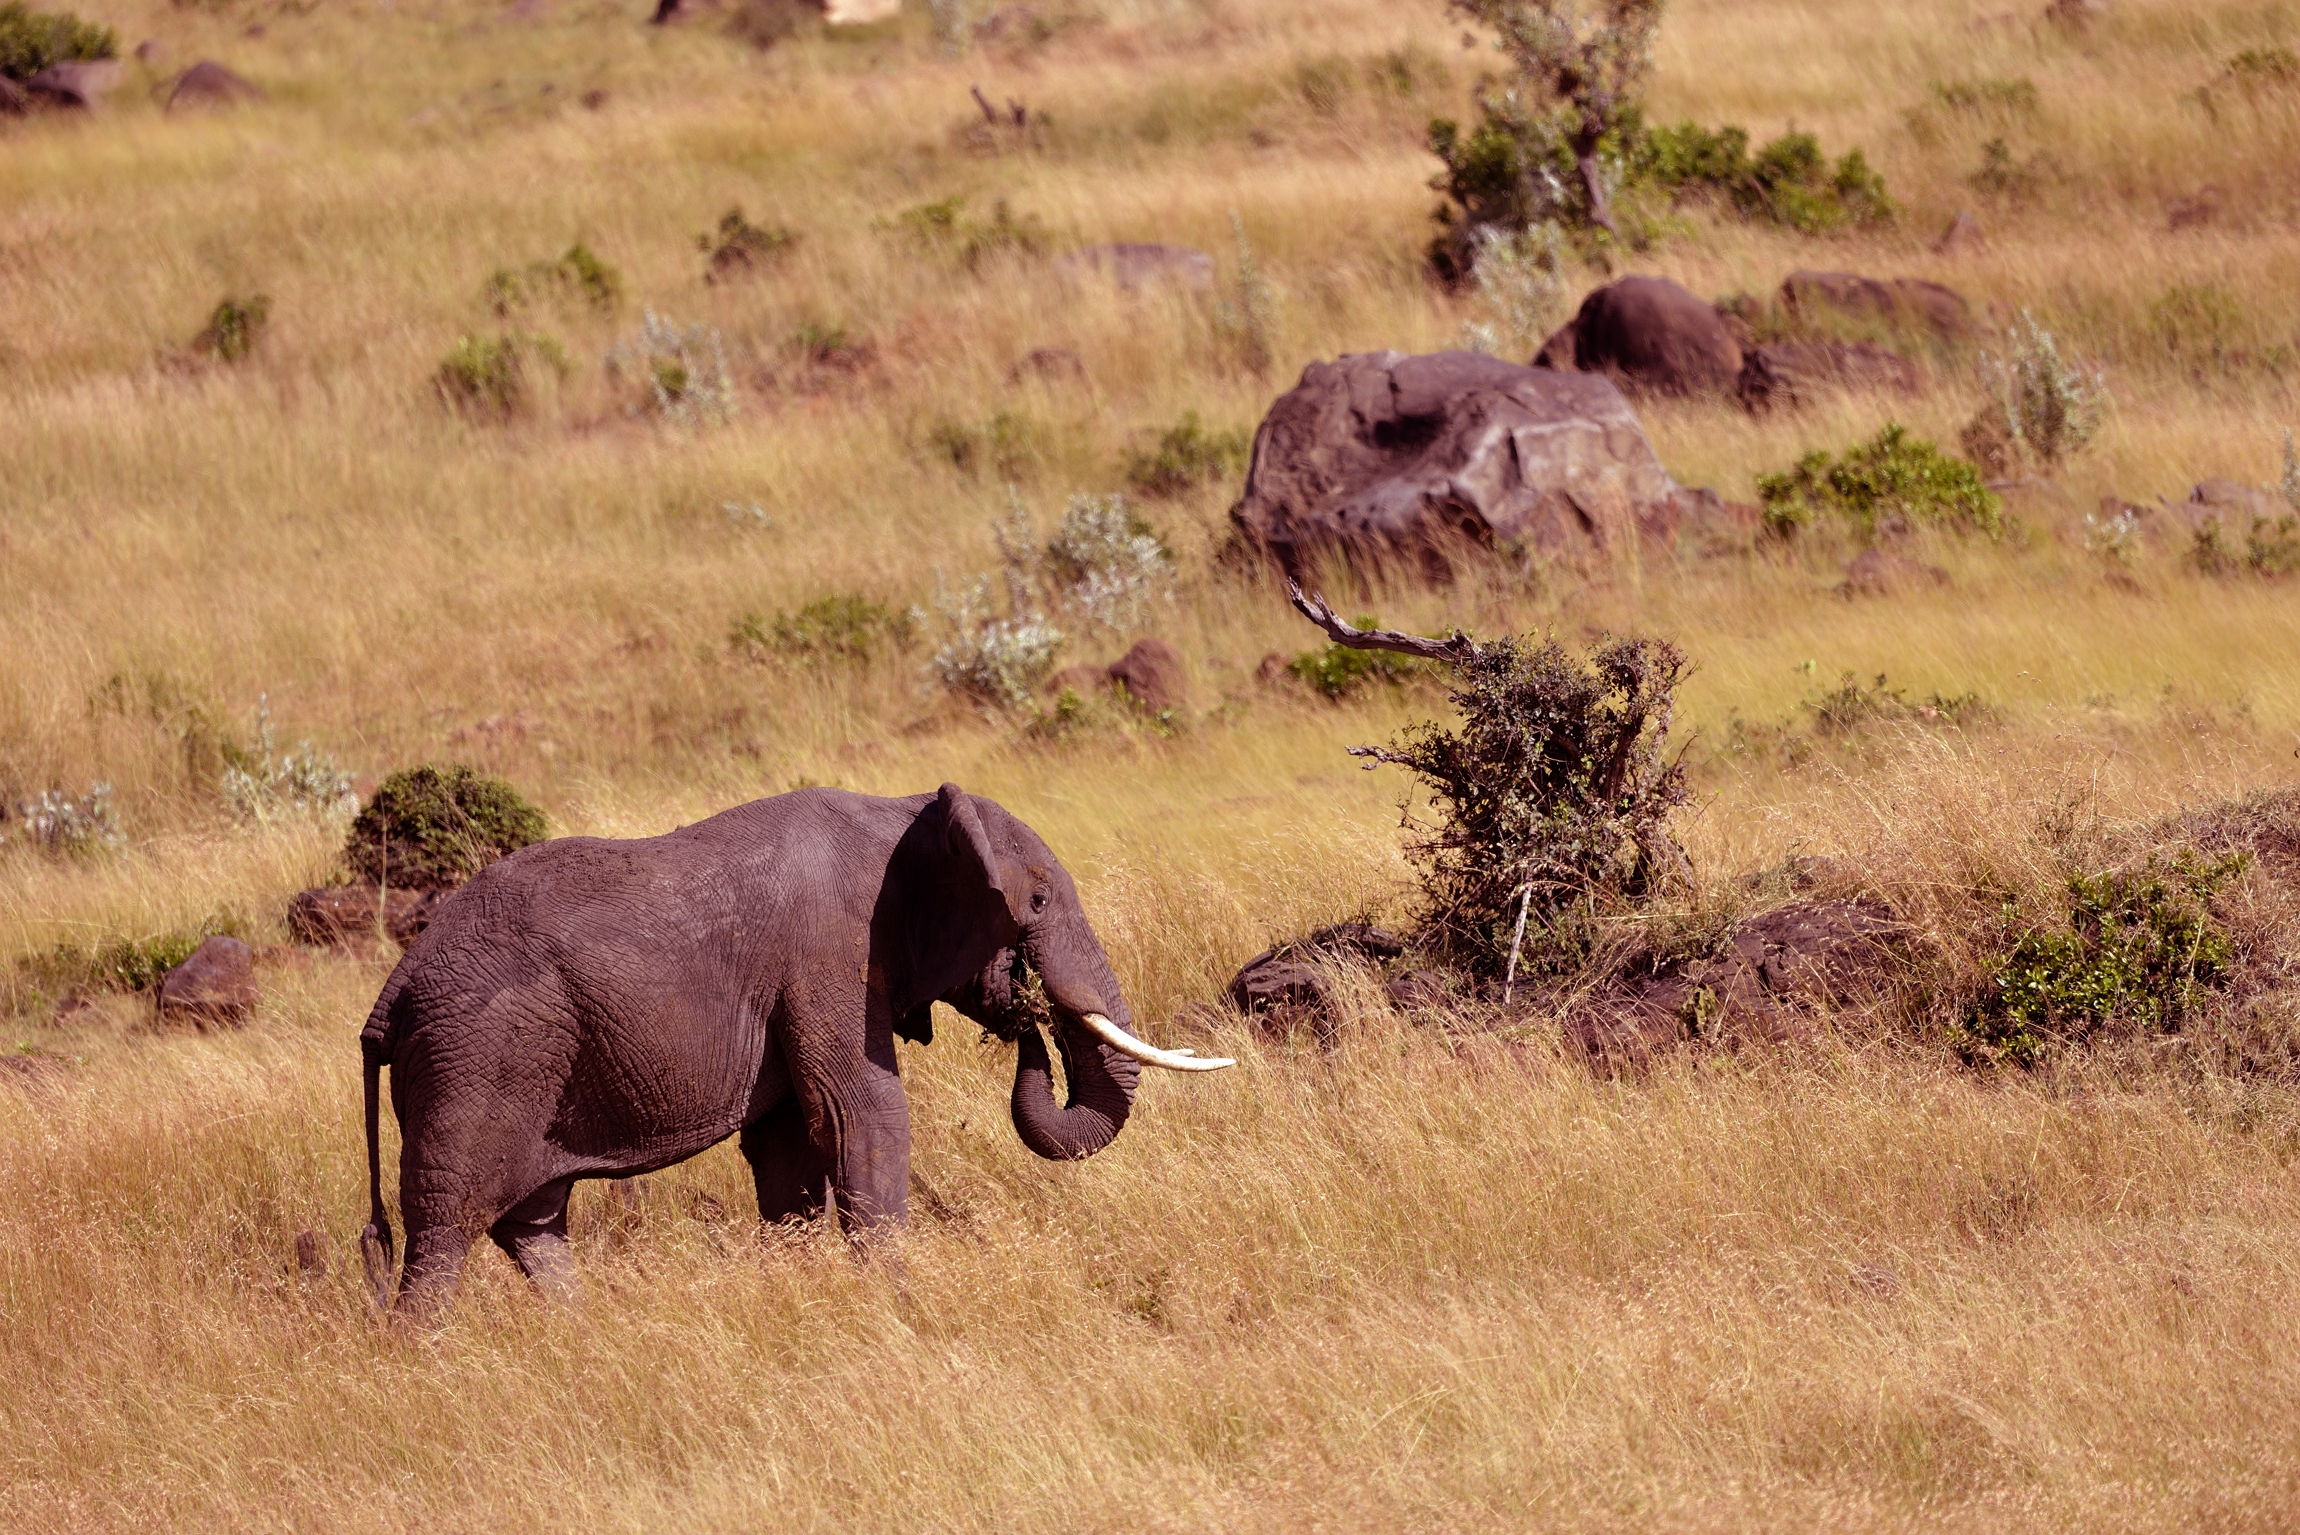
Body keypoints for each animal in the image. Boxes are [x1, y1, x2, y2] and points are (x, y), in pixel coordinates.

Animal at [357, 783, 1229, 1314]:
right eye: (1039, 900)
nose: (1026, 1011)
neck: (903, 812)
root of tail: (390, 993)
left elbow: (785, 1154)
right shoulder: (830, 954)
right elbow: (861, 1113)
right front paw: (899, 1307)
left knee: (532, 1223)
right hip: (480, 1057)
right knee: (443, 1230)